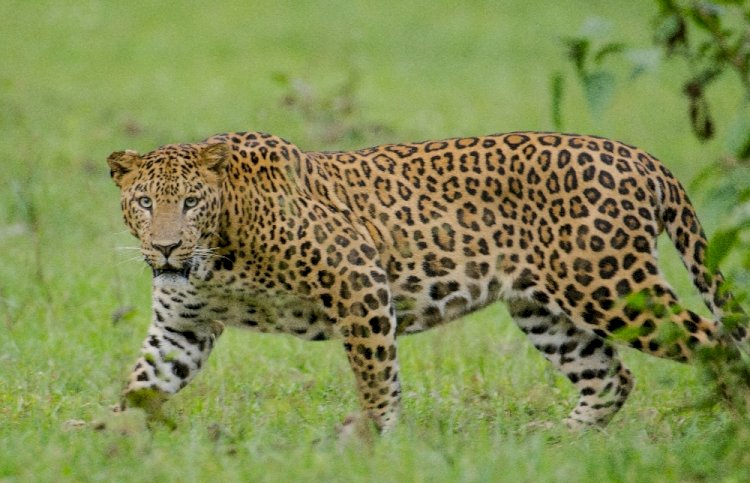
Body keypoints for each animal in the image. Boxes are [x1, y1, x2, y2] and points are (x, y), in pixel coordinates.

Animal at [107, 131, 749, 432]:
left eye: (191, 203)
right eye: (145, 202)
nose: (166, 247)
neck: (217, 256)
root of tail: (641, 157)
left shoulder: (358, 277)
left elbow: (376, 377)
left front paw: (369, 441)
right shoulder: (182, 327)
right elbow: (141, 384)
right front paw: (106, 440)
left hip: (610, 287)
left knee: (716, 344)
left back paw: (731, 430)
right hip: (545, 309)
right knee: (611, 377)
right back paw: (552, 440)